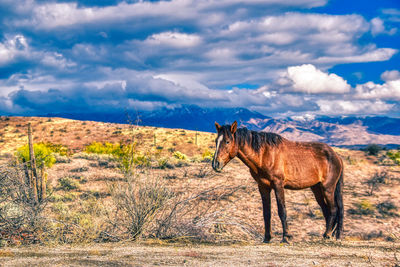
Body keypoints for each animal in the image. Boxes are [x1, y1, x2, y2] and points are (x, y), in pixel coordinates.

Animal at [212, 121, 344, 245]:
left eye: (227, 141)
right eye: (216, 141)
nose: (215, 164)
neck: (265, 154)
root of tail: (336, 156)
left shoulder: (278, 185)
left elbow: (282, 211)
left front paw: (286, 237)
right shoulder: (263, 187)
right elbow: (266, 213)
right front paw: (267, 238)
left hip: (328, 188)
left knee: (334, 209)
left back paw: (327, 235)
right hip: (317, 189)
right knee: (326, 210)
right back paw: (330, 234)